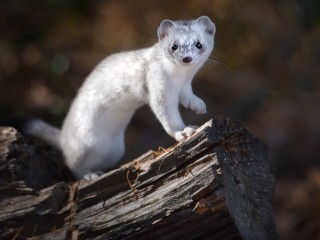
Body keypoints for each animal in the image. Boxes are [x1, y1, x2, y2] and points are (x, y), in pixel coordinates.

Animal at [25, 15, 215, 179]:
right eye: (174, 46)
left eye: (199, 44)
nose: (186, 58)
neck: (178, 78)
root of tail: (64, 136)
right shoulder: (157, 84)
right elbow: (166, 114)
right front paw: (183, 131)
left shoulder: (184, 86)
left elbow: (187, 97)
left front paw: (198, 105)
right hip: (85, 141)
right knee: (71, 163)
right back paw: (89, 175)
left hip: (114, 150)